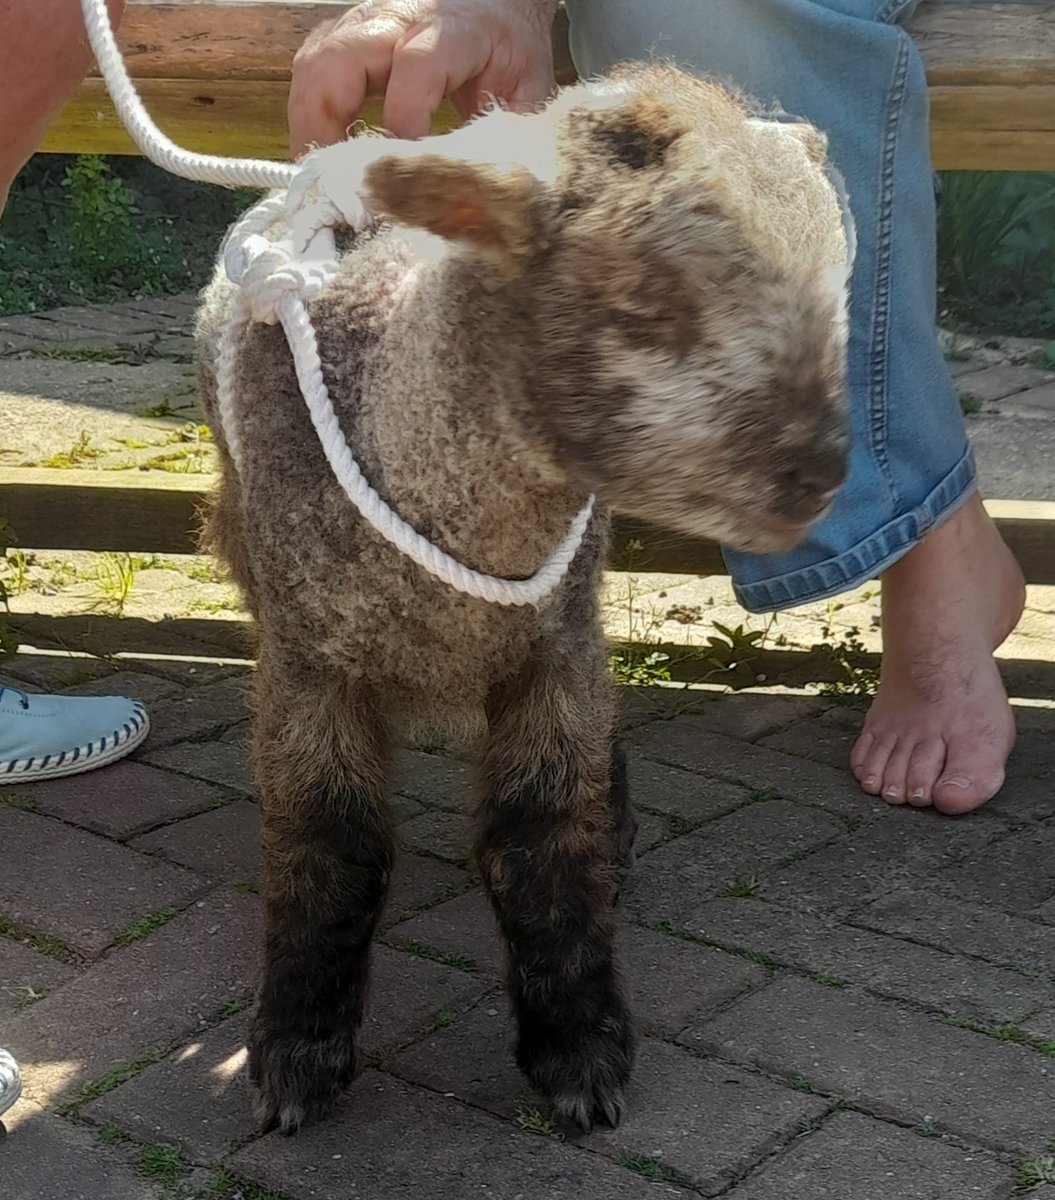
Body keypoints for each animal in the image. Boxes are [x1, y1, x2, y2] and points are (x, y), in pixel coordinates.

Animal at [194, 60, 854, 1137]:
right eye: (644, 308)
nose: (821, 478)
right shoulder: (308, 663)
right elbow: (331, 843)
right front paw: (298, 1045)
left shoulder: (553, 651)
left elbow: (540, 828)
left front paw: (576, 1045)